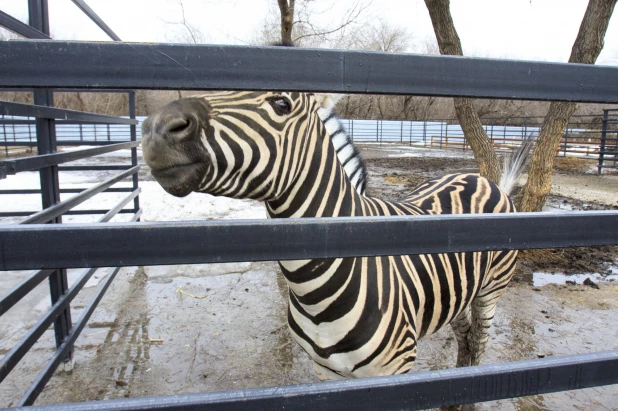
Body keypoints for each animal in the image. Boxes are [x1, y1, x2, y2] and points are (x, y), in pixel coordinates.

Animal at [141, 91, 524, 382]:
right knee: (464, 335)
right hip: (457, 291)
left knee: (479, 340)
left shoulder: (394, 371)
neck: (314, 291)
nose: (156, 128)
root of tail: (482, 179)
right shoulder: (326, 371)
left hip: (491, 290)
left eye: (281, 103)